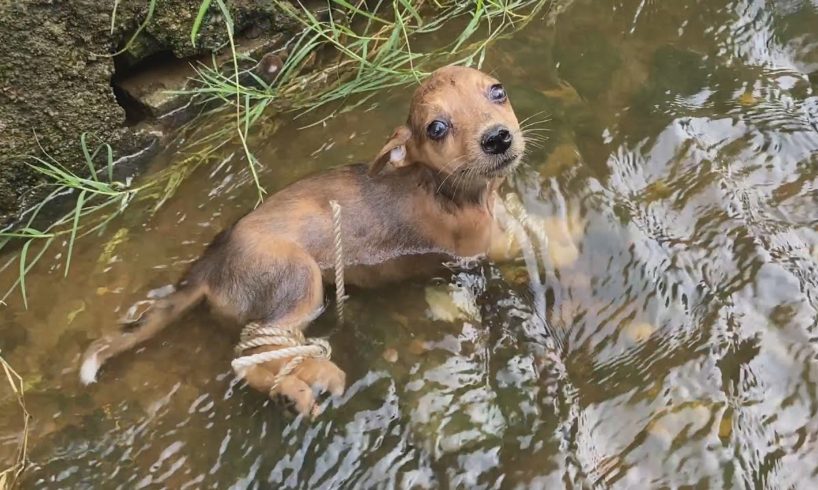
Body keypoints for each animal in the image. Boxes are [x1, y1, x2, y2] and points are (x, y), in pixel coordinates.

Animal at [81, 65, 524, 416]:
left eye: (497, 91)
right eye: (437, 129)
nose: (498, 138)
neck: (446, 187)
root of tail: (210, 266)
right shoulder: (477, 249)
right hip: (298, 279)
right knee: (251, 355)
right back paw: (304, 381)